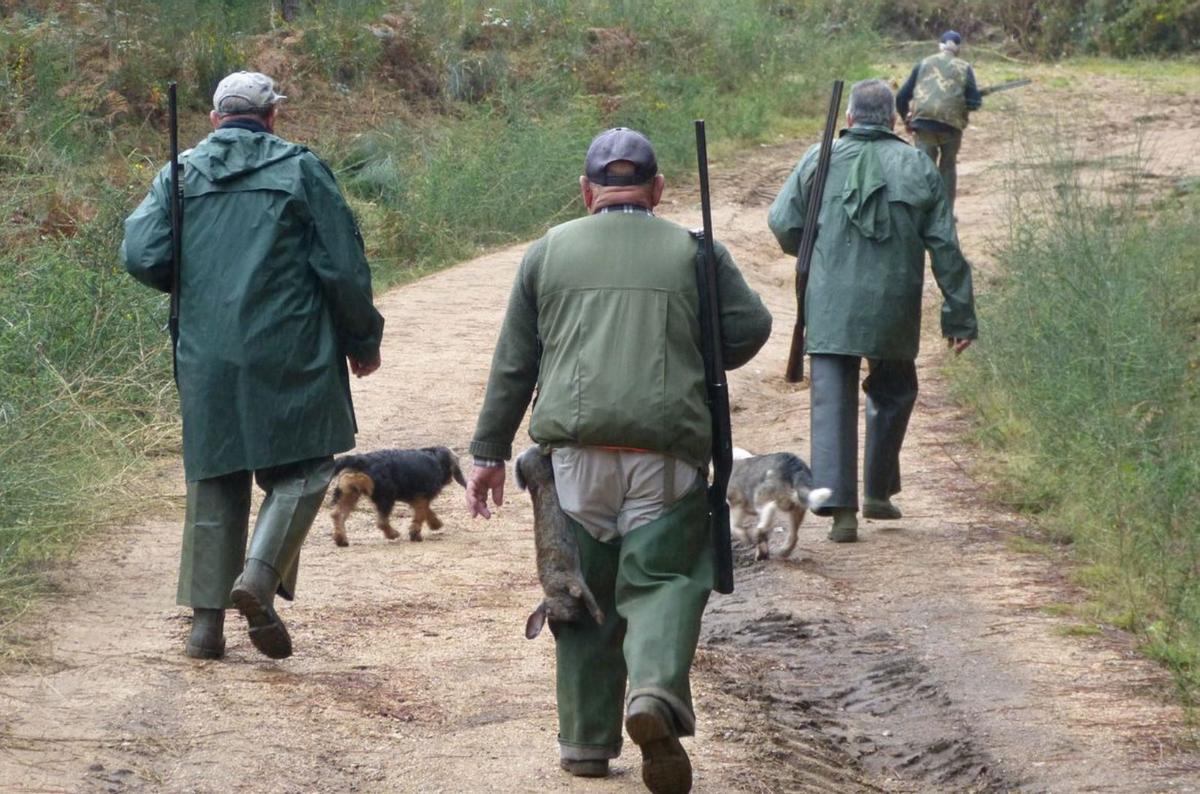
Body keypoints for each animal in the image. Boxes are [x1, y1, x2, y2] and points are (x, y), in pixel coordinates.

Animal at [331, 448, 465, 546]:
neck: (436, 458)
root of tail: (360, 459)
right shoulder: (421, 497)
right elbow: (421, 514)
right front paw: (415, 533)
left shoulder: (416, 498)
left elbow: (426, 511)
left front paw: (435, 524)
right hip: (385, 497)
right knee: (382, 522)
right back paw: (393, 534)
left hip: (350, 492)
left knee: (337, 514)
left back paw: (341, 539)